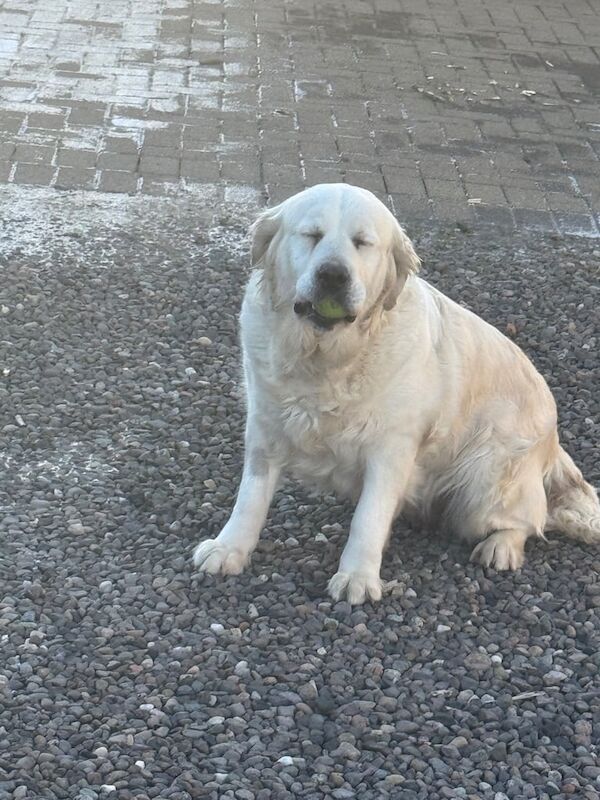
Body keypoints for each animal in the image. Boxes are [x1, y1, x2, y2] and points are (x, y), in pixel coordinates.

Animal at [193, 184, 600, 604]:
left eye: (362, 243)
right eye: (312, 235)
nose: (333, 274)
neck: (327, 359)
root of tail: (553, 437)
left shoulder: (391, 449)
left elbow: (368, 518)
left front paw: (357, 576)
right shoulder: (265, 426)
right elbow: (250, 497)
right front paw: (229, 548)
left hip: (486, 478)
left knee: (530, 519)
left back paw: (500, 546)